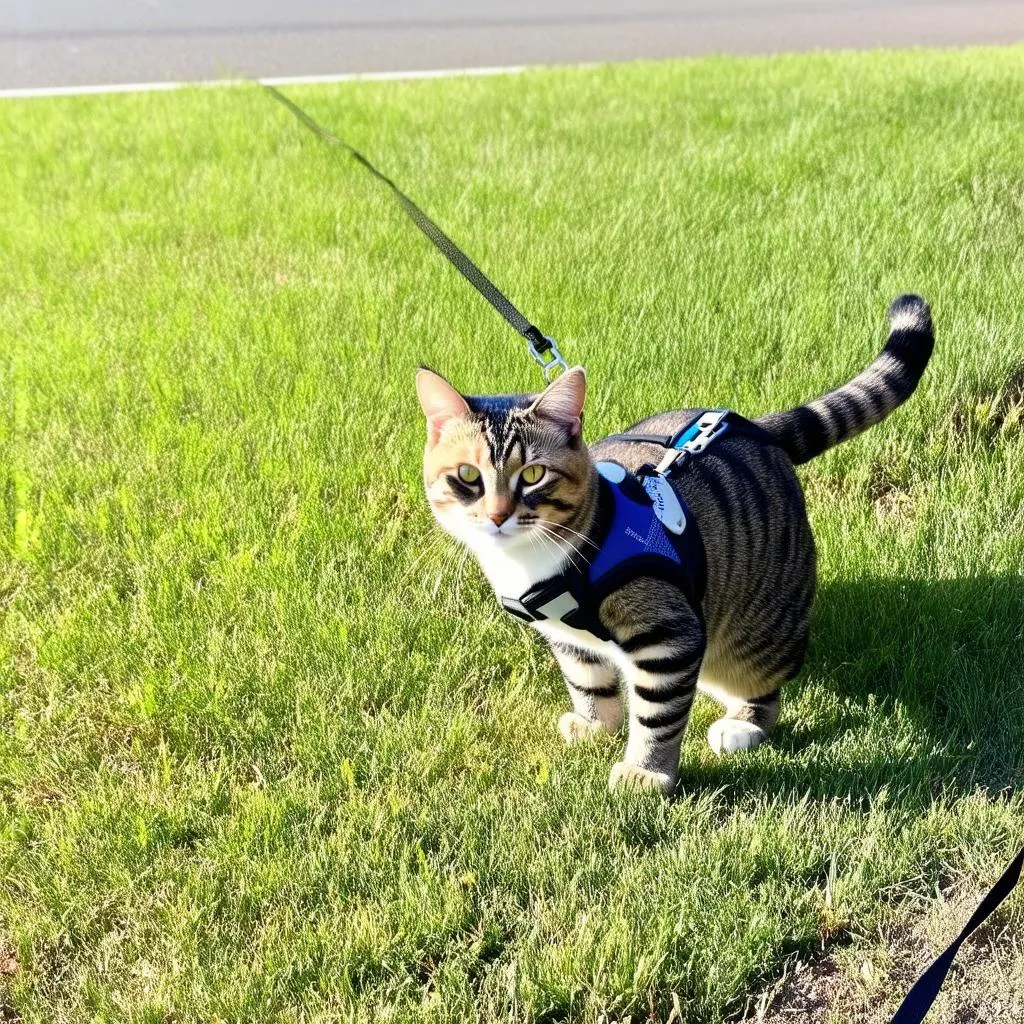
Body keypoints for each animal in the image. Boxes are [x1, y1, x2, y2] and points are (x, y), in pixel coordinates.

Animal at [415, 292, 937, 794]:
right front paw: (596, 724)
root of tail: (755, 428)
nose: (498, 515)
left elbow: (658, 713)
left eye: (533, 474)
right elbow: (587, 680)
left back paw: (745, 723)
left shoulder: (669, 635)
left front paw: (646, 773)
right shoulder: (567, 638)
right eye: (468, 476)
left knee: (759, 678)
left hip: (752, 629)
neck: (538, 562)